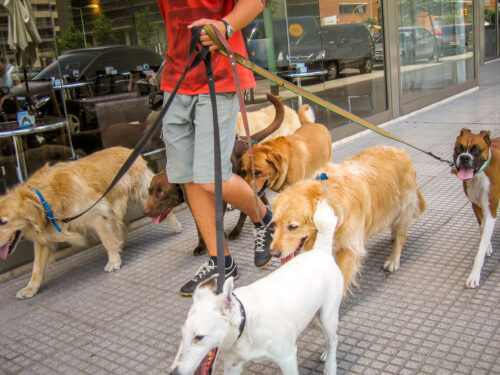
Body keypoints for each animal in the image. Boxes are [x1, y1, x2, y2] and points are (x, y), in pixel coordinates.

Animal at [172, 201, 344, 375]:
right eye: (181, 336)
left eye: (199, 337)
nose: (174, 373)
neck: (247, 321)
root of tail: (320, 251)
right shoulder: (232, 364)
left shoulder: (287, 357)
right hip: (315, 315)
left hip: (328, 315)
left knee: (333, 340)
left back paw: (330, 365)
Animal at [270, 145, 426, 296]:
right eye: (275, 224)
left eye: (292, 226)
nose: (274, 253)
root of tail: (401, 151)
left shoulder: (349, 247)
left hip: (404, 209)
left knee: (401, 237)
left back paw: (393, 260)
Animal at [454, 128, 500, 290]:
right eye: (459, 148)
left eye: (476, 150)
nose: (464, 157)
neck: (478, 176)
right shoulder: (476, 206)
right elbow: (483, 229)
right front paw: (488, 246)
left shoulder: (491, 211)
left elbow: (479, 253)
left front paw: (474, 276)